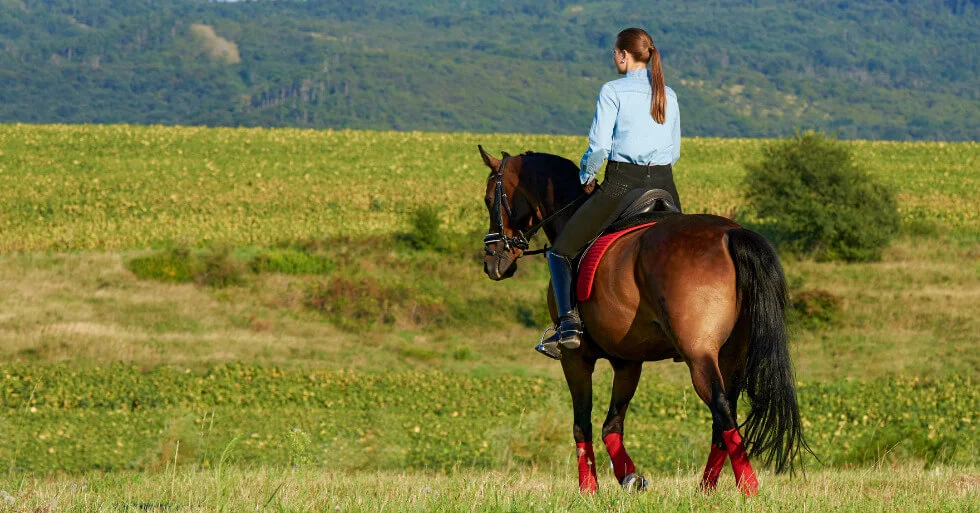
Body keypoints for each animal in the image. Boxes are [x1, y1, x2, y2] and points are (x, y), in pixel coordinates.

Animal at [478, 146, 808, 494]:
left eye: (488, 199)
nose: (492, 263)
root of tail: (730, 234)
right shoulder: (628, 361)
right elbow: (612, 424)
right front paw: (629, 476)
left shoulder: (575, 357)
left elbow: (582, 424)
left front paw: (589, 489)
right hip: (730, 357)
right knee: (723, 418)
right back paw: (705, 490)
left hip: (699, 355)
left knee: (722, 410)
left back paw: (748, 489)